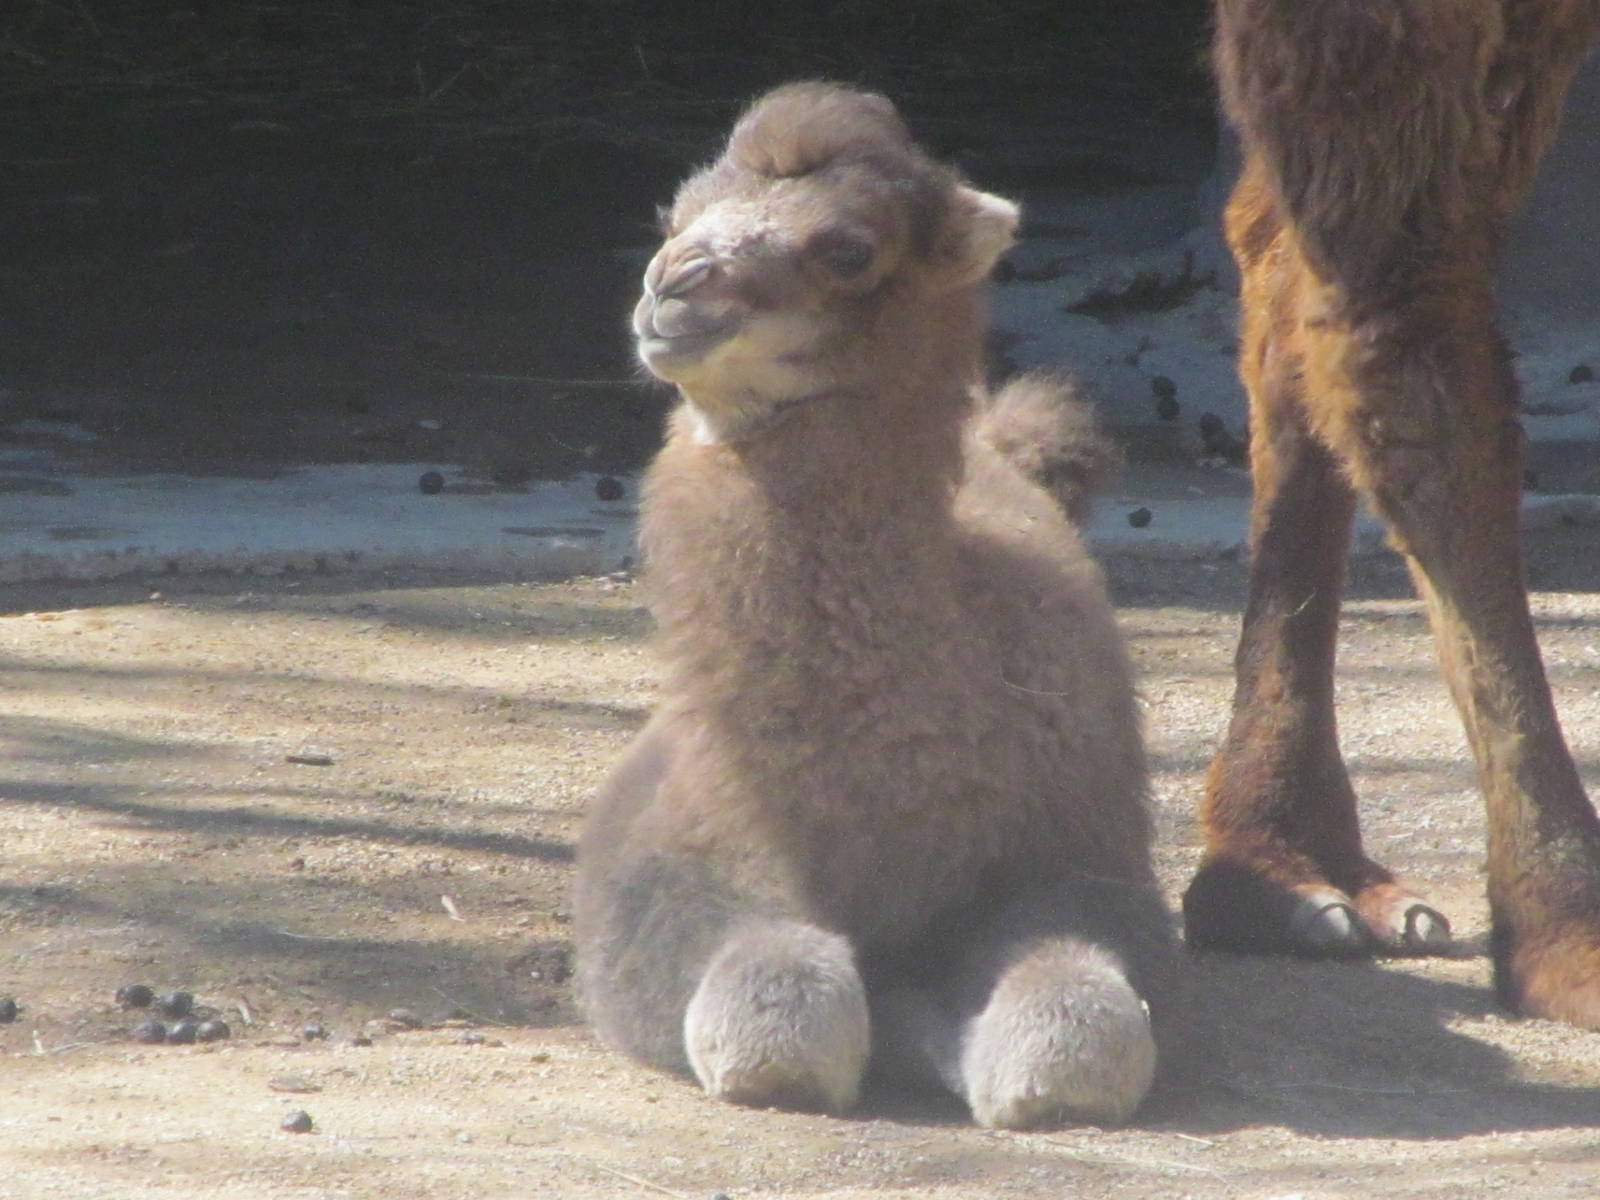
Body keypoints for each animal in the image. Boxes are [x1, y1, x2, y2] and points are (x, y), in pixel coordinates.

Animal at [574, 82, 1177, 1128]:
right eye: (676, 213)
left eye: (850, 249)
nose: (672, 287)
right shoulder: (672, 872)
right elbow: (778, 1006)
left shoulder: (1080, 862)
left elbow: (1083, 1022)